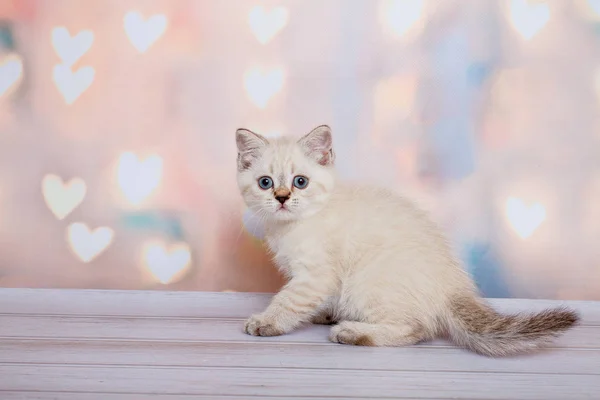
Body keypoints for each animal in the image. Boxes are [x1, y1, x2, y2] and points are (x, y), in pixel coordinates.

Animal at [236, 125, 580, 356]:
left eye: (300, 182)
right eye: (265, 183)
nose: (282, 198)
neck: (291, 226)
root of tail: (454, 287)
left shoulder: (315, 275)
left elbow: (288, 300)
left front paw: (267, 322)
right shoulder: (316, 279)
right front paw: (322, 313)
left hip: (367, 282)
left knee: (417, 329)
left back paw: (352, 332)